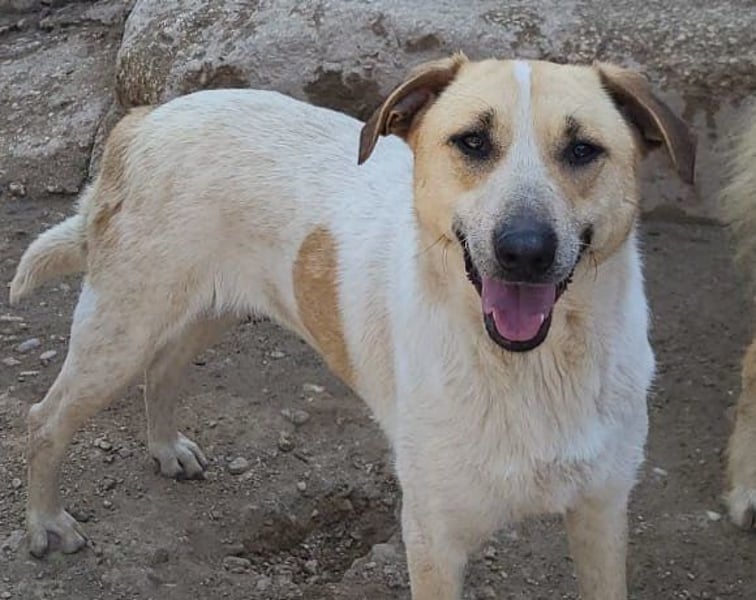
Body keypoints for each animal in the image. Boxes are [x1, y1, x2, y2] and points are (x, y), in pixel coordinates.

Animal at [10, 54, 695, 599]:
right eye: (473, 142)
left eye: (583, 150)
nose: (522, 250)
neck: (533, 369)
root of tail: (146, 118)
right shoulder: (432, 535)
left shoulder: (603, 515)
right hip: (121, 325)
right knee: (45, 419)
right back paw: (45, 524)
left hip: (212, 308)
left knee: (164, 368)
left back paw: (164, 448)